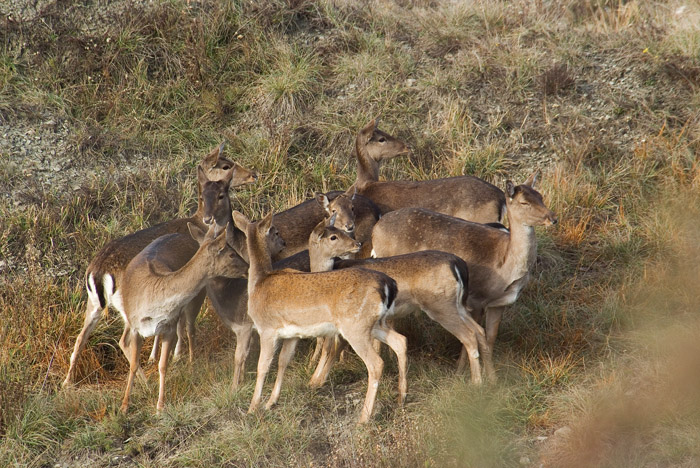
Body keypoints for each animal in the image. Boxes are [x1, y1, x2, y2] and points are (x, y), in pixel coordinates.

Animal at [63, 145, 258, 388]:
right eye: (225, 165)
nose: (253, 174)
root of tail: (96, 273)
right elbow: (183, 324)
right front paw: (177, 355)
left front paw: (156, 354)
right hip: (126, 306)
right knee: (124, 340)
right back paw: (144, 381)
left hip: (93, 303)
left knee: (81, 337)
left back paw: (67, 382)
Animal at [231, 210, 404, 422]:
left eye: (275, 231)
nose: (283, 243)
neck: (258, 283)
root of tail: (388, 285)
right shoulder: (292, 334)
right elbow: (283, 362)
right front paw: (270, 402)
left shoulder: (267, 328)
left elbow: (263, 366)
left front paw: (252, 407)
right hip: (376, 323)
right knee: (400, 341)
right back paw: (401, 398)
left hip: (355, 327)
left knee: (376, 363)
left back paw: (363, 418)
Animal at [372, 173, 556, 380]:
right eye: (524, 202)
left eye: (540, 196)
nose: (552, 217)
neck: (505, 265)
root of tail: (376, 229)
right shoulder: (476, 299)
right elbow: (474, 338)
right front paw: (463, 373)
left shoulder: (500, 304)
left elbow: (490, 338)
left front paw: (492, 377)